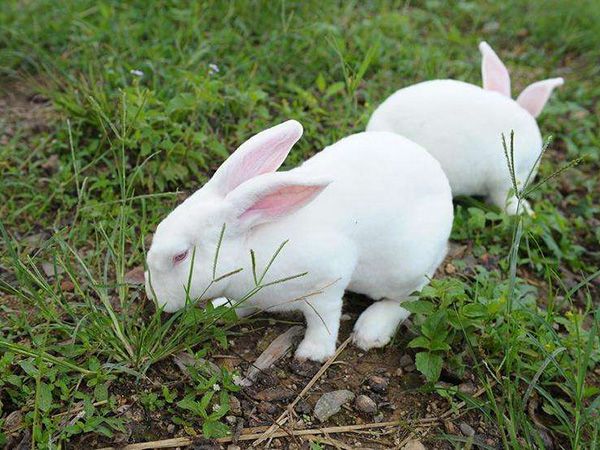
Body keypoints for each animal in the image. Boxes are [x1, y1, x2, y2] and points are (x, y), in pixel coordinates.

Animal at [146, 120, 454, 362]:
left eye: (180, 256)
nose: (153, 297)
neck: (249, 243)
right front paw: (220, 309)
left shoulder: (327, 282)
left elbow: (323, 319)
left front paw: (312, 353)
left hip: (404, 269)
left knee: (409, 297)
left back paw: (371, 330)